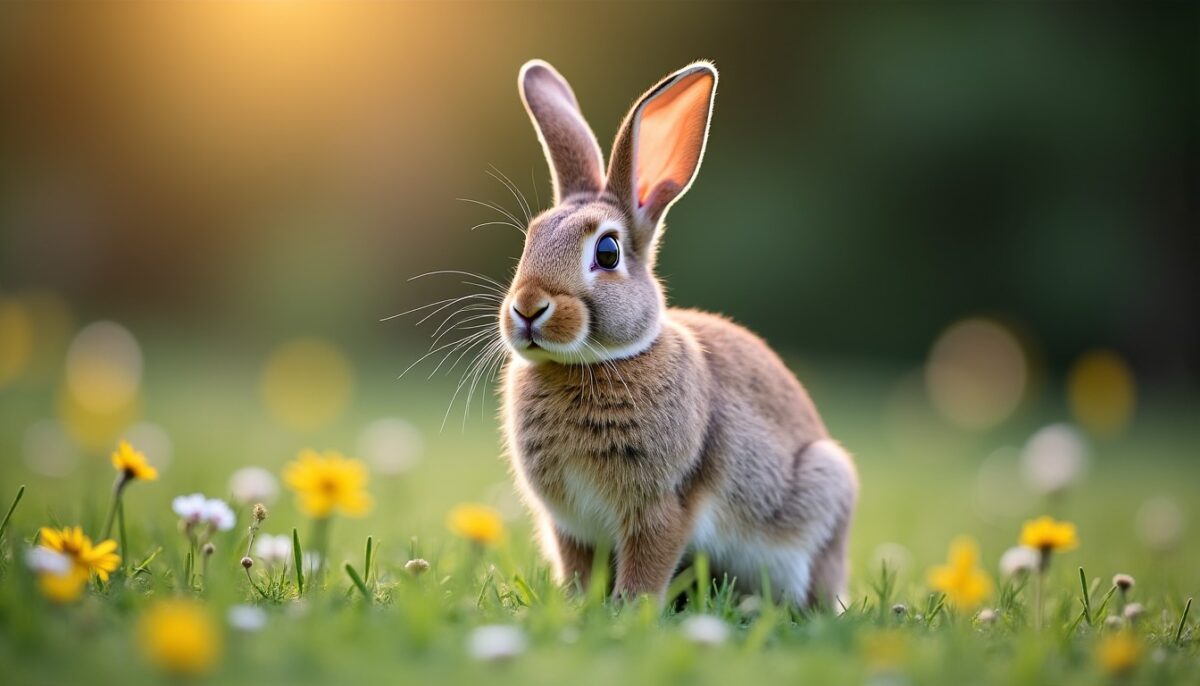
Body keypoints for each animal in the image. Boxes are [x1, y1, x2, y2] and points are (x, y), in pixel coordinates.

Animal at [498, 59, 858, 608]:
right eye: (531, 239)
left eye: (607, 253)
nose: (526, 309)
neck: (590, 363)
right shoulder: (570, 524)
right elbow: (578, 566)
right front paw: (578, 605)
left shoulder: (664, 505)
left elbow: (648, 564)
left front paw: (627, 610)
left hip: (823, 486)